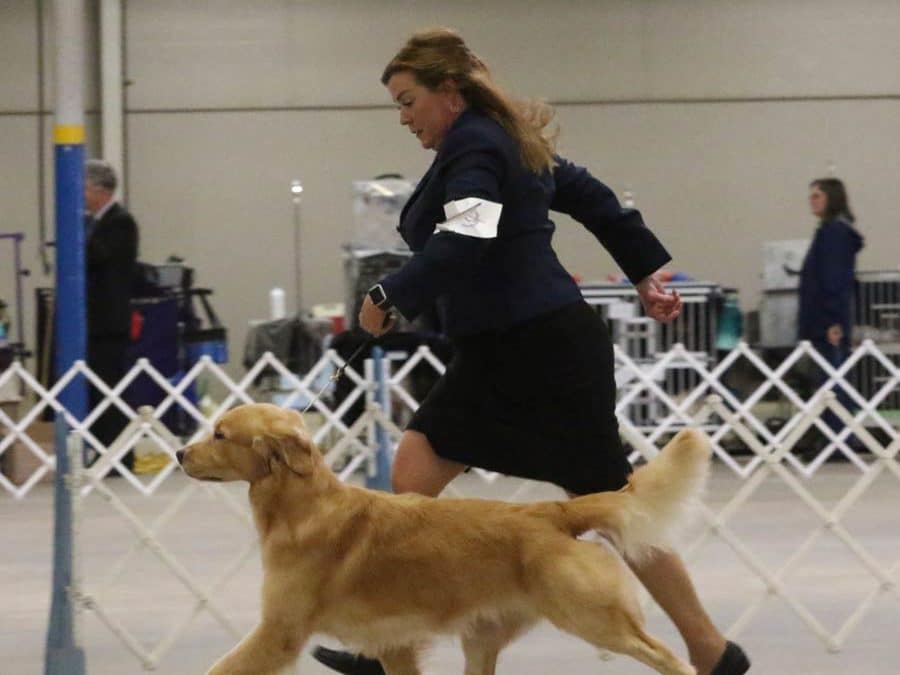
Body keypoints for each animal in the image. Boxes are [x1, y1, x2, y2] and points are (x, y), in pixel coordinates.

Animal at [176, 404, 712, 672]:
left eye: (220, 434)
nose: (180, 453)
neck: (302, 506)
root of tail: (553, 510)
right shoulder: (392, 644)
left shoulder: (280, 631)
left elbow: (219, 670)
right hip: (483, 639)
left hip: (593, 618)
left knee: (667, 657)